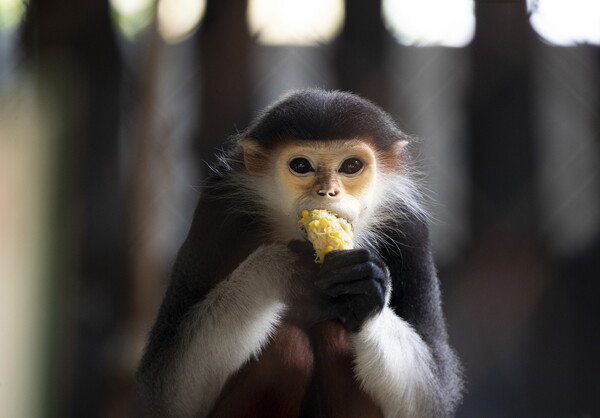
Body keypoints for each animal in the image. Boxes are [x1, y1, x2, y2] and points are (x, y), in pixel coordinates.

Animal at [137, 89, 464, 418]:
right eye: (301, 166)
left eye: (351, 166)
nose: (327, 192)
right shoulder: (215, 209)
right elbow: (166, 391)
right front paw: (278, 268)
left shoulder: (411, 226)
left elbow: (431, 396)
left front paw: (366, 285)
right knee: (288, 346)